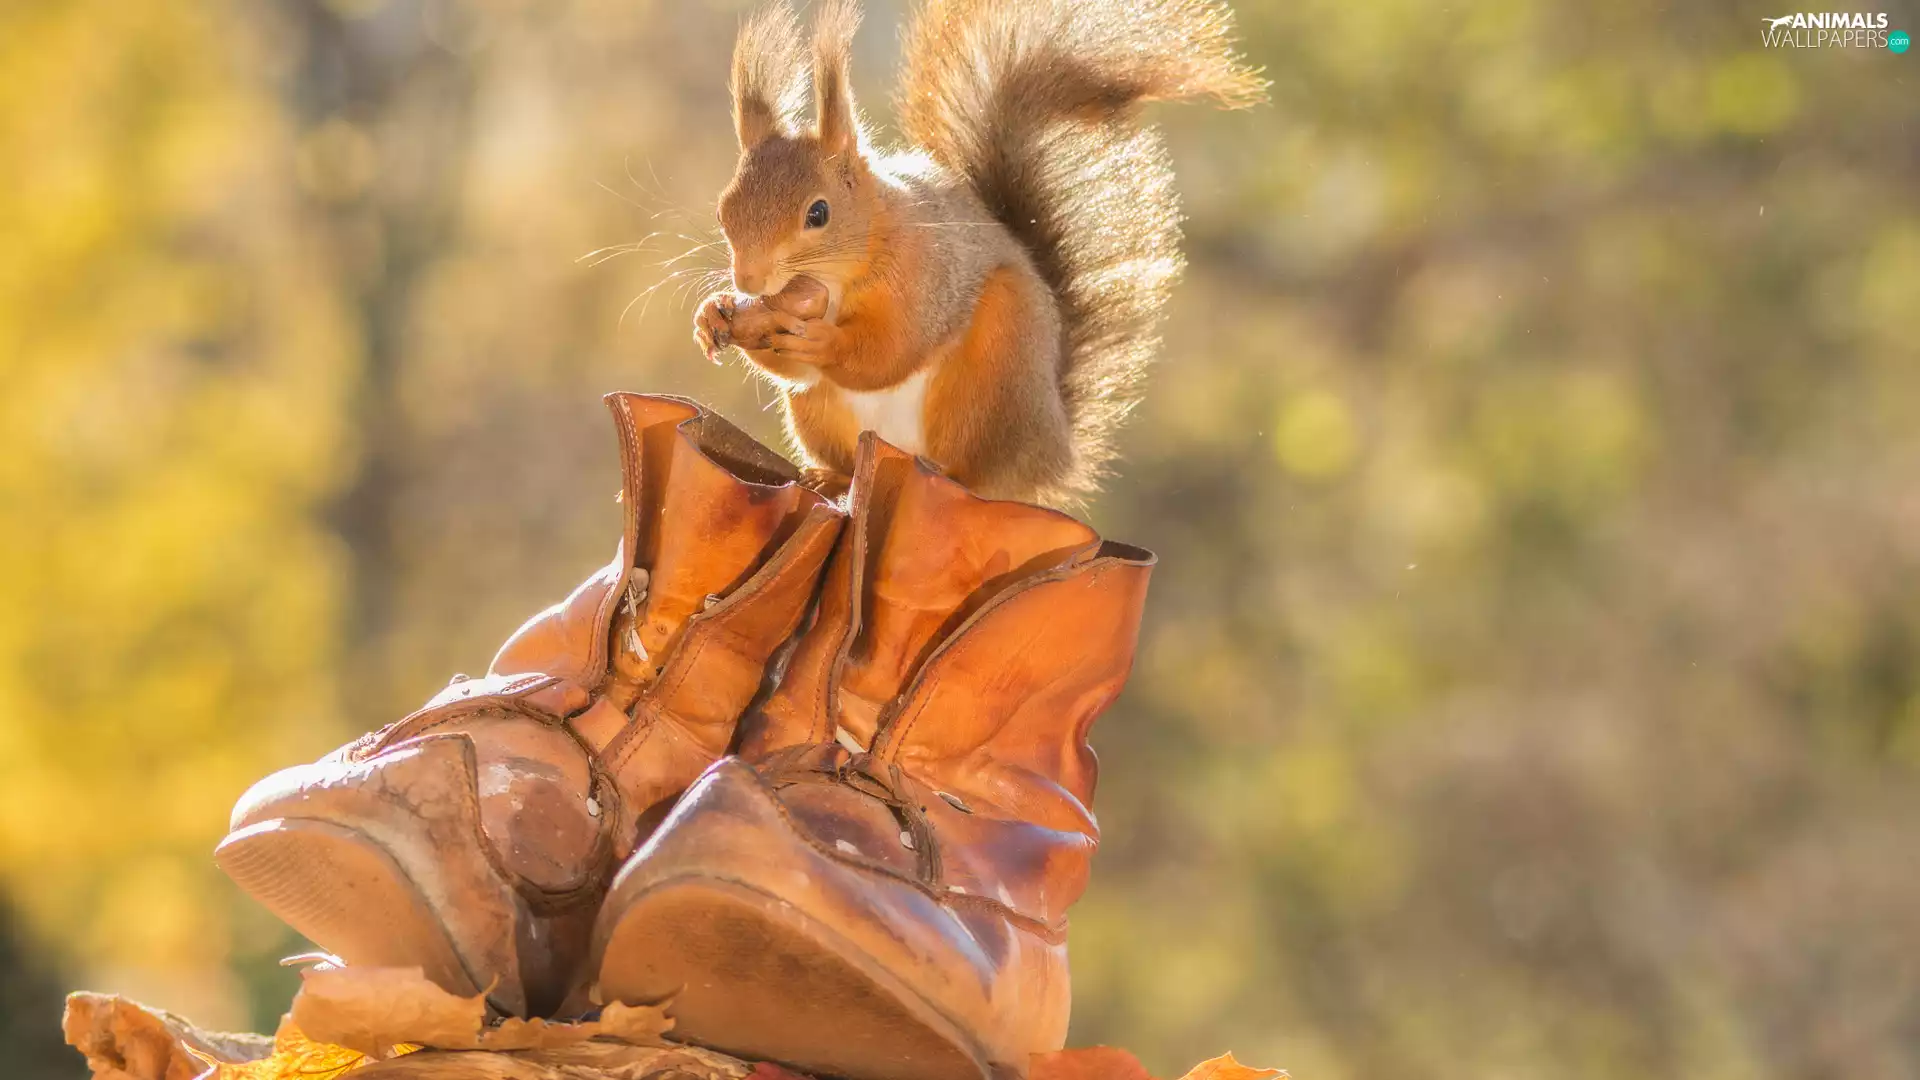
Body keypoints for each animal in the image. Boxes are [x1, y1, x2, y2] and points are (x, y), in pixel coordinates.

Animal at [693, 0, 1264, 506]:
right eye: (723, 211)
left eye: (818, 213)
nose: (747, 282)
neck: (836, 277)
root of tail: (1052, 451)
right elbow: (795, 370)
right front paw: (714, 315)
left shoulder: (928, 273)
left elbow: (893, 350)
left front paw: (823, 340)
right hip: (823, 417)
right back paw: (831, 477)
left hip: (992, 382)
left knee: (976, 475)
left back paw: (952, 474)